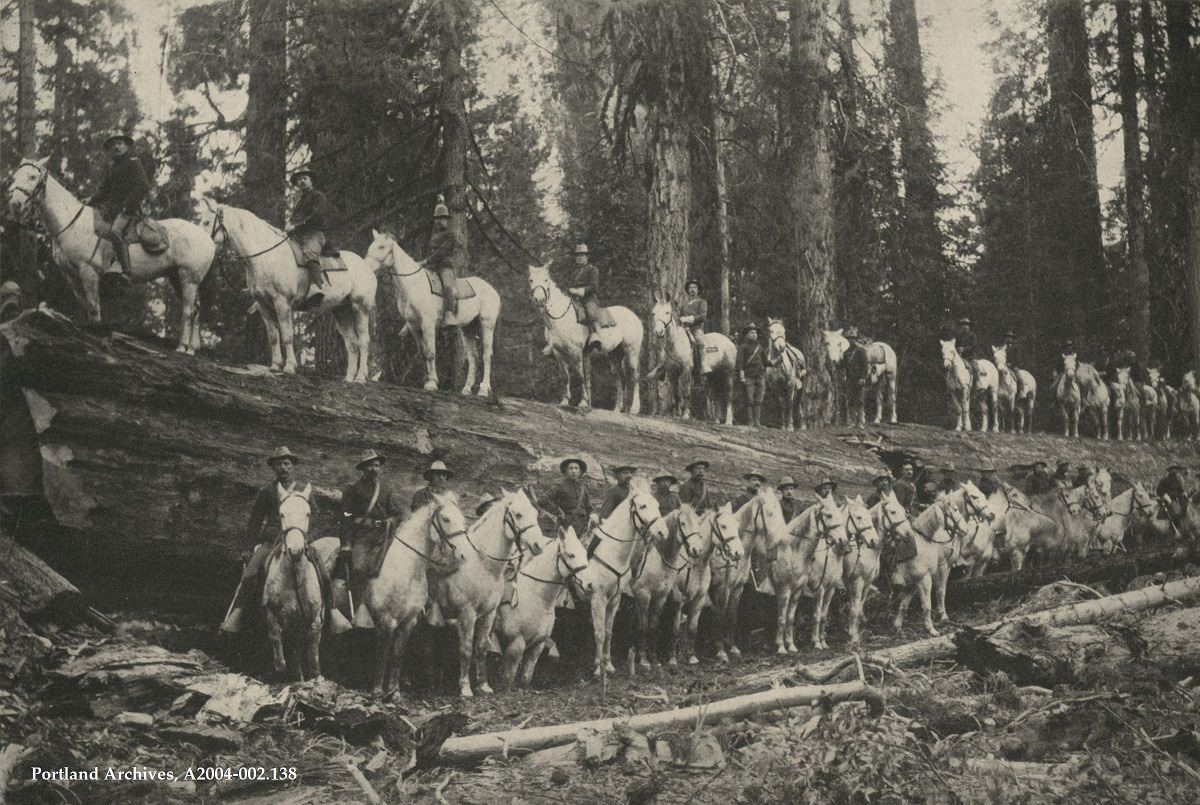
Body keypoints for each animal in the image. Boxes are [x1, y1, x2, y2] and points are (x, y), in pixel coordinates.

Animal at [6, 160, 216, 352]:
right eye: (15, 177)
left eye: (32, 177)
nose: (15, 204)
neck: (72, 224)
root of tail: (209, 239)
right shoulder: (72, 276)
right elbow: (86, 307)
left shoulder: (88, 271)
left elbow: (94, 308)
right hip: (176, 277)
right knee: (196, 309)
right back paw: (193, 348)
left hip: (188, 278)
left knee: (188, 310)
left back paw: (182, 347)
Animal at [199, 200, 374, 379]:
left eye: (206, 222)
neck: (267, 256)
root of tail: (367, 267)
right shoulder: (263, 305)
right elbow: (273, 336)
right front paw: (275, 365)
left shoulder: (282, 302)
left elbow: (287, 335)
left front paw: (289, 367)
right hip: (342, 311)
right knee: (352, 343)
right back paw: (349, 379)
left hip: (360, 308)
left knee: (363, 341)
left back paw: (360, 378)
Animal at [362, 230, 499, 395]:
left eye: (381, 246)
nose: (365, 267)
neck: (413, 284)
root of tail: (492, 291)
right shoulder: (414, 326)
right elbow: (423, 353)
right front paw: (427, 380)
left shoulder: (428, 324)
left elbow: (431, 352)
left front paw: (432, 383)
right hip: (467, 328)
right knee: (473, 357)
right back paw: (466, 389)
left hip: (487, 324)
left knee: (486, 355)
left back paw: (483, 390)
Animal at [532, 263, 648, 415]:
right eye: (531, 280)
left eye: (545, 280)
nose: (539, 300)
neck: (560, 318)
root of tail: (634, 316)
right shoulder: (559, 353)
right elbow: (565, 376)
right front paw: (564, 401)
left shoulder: (576, 352)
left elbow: (581, 376)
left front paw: (583, 402)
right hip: (614, 355)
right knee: (620, 379)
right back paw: (618, 409)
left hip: (631, 353)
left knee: (634, 377)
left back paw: (634, 408)